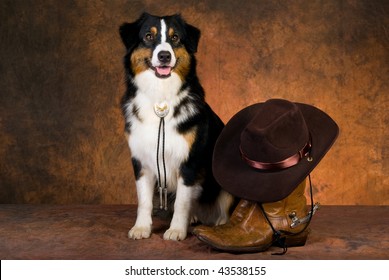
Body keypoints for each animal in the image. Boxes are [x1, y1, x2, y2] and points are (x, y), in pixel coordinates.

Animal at [118, 13, 233, 241]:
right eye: (148, 36)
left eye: (175, 38)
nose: (164, 55)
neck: (160, 95)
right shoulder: (141, 160)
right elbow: (144, 200)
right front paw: (141, 228)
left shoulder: (189, 161)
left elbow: (181, 201)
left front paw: (176, 230)